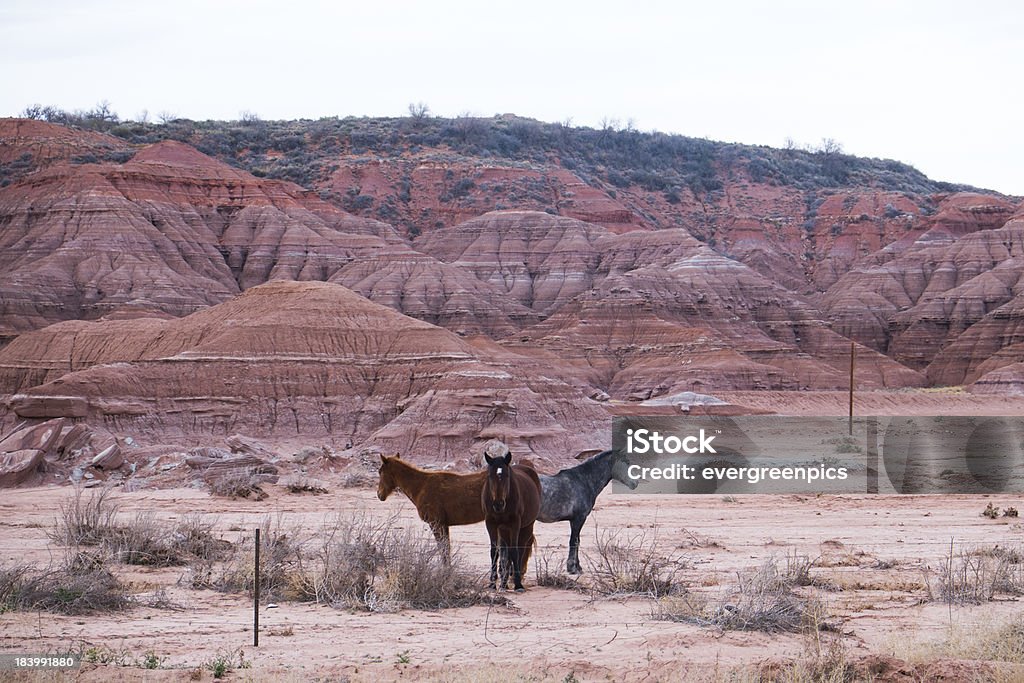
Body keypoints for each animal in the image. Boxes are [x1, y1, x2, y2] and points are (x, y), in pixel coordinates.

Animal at [481, 446, 544, 589]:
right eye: (489, 475)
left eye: (507, 475)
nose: (498, 504)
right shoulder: (491, 523)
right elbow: (494, 552)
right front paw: (492, 583)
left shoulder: (515, 524)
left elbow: (514, 551)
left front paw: (518, 584)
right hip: (504, 529)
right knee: (507, 552)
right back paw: (504, 582)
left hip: (526, 526)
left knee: (520, 549)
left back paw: (514, 577)